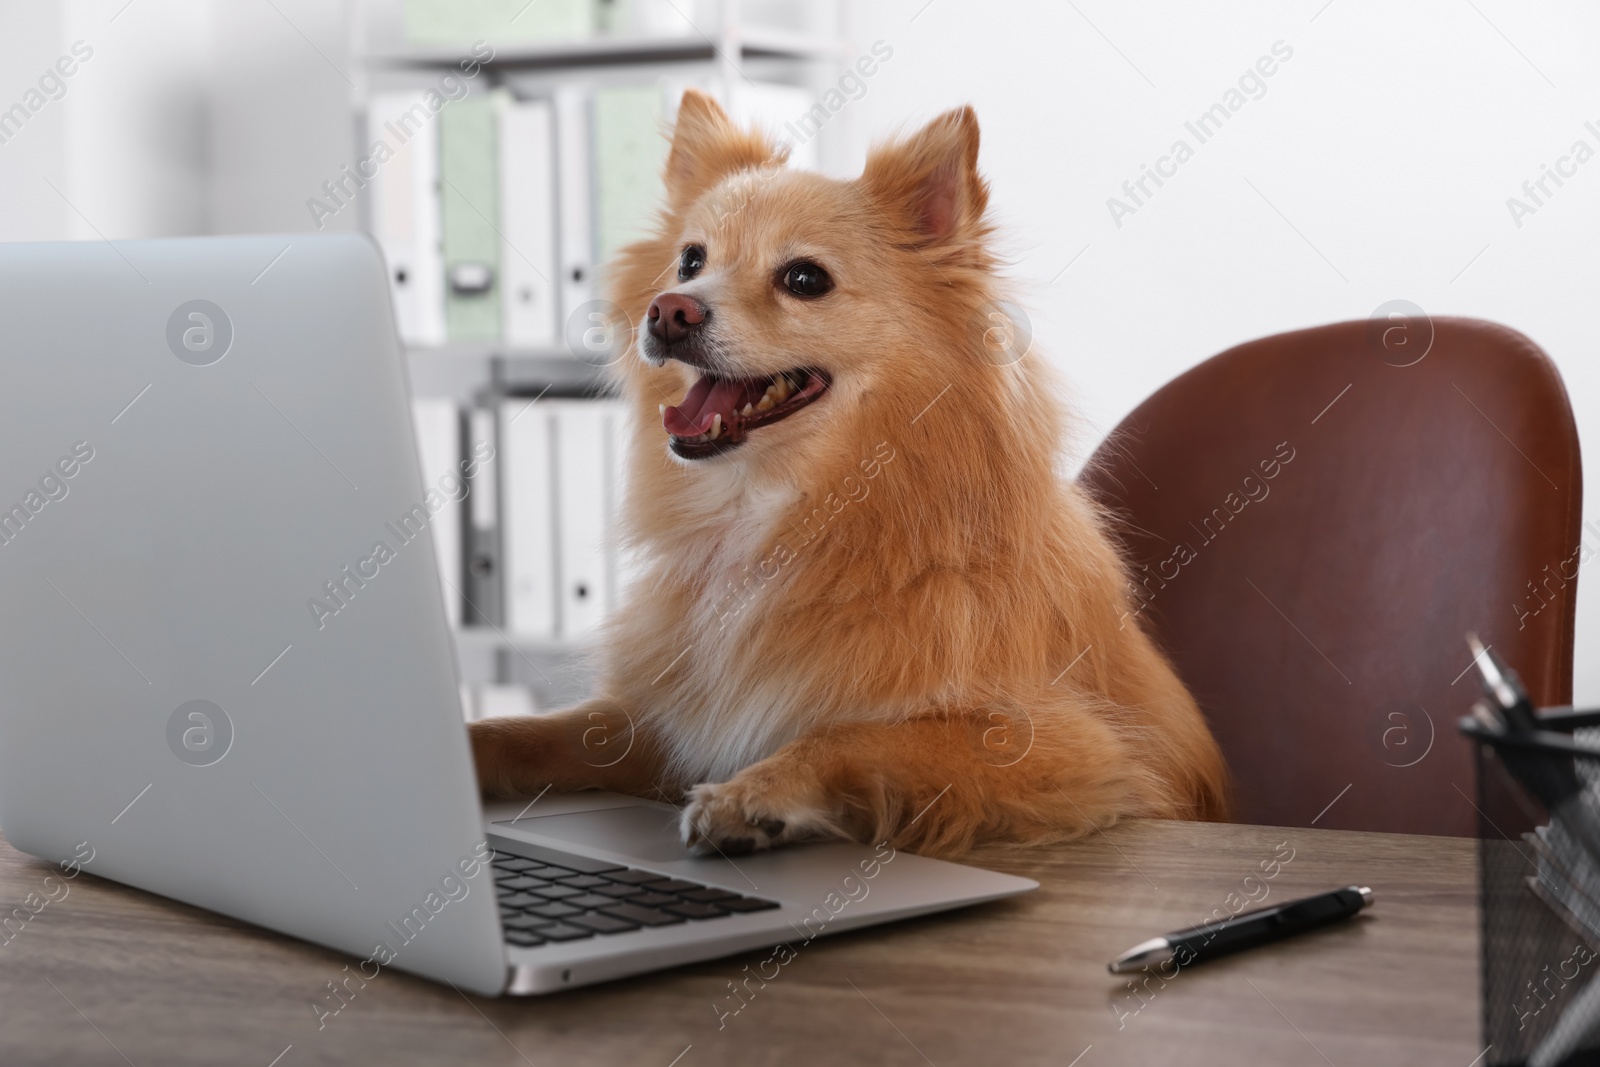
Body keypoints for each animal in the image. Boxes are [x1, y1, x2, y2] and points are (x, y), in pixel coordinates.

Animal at [467, 89, 1228, 857]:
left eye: (805, 279)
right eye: (689, 261)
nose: (669, 311)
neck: (771, 512)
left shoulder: (1070, 748)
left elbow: (851, 736)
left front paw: (753, 795)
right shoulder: (661, 722)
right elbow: (539, 730)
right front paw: (468, 746)